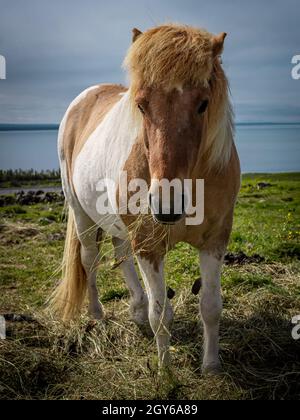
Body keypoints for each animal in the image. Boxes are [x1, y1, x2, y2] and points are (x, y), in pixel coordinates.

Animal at [50, 23, 240, 374]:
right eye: (141, 105)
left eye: (203, 104)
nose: (167, 206)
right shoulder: (149, 245)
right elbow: (160, 314)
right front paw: (166, 372)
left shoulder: (215, 240)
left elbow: (210, 306)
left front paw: (210, 366)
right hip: (82, 214)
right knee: (89, 259)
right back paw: (97, 316)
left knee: (120, 253)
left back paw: (135, 308)